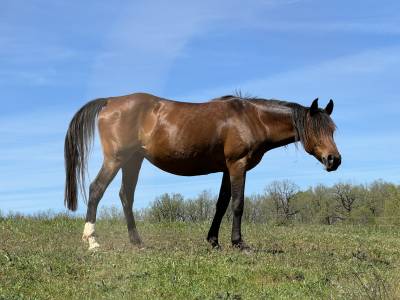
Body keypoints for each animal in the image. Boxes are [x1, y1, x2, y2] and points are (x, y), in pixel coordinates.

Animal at [63, 92, 340, 250]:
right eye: (316, 130)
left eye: (332, 130)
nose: (334, 160)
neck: (252, 118)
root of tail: (110, 101)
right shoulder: (237, 165)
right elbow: (237, 204)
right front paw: (239, 243)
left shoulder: (227, 169)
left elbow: (221, 203)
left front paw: (213, 241)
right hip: (116, 159)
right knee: (96, 190)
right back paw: (92, 241)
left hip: (133, 161)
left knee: (125, 196)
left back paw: (137, 242)